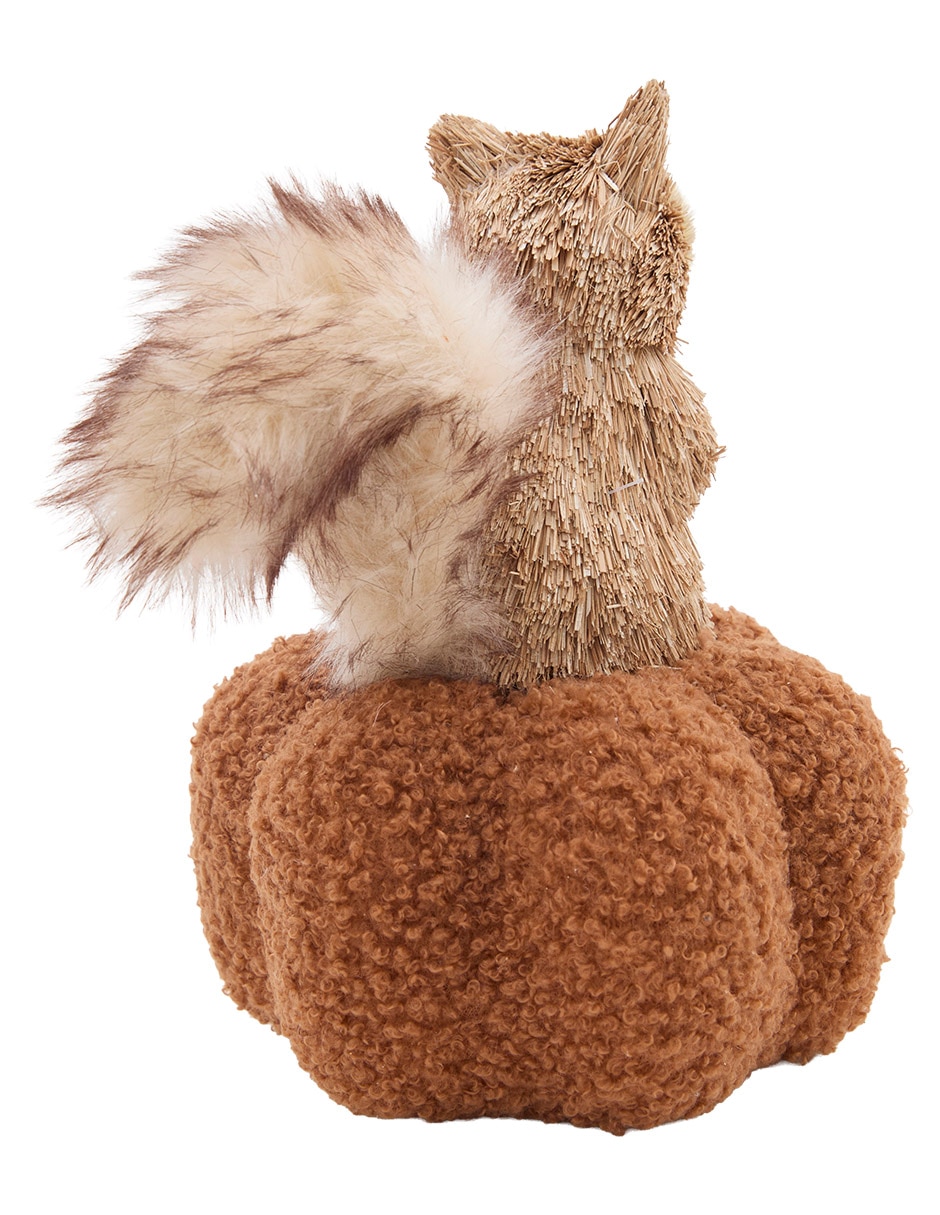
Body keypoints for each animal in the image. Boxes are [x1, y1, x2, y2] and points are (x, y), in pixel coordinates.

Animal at [50, 81, 718, 691]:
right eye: (668, 219)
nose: (687, 223)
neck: (557, 335)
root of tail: (457, 657)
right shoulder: (665, 421)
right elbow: (694, 466)